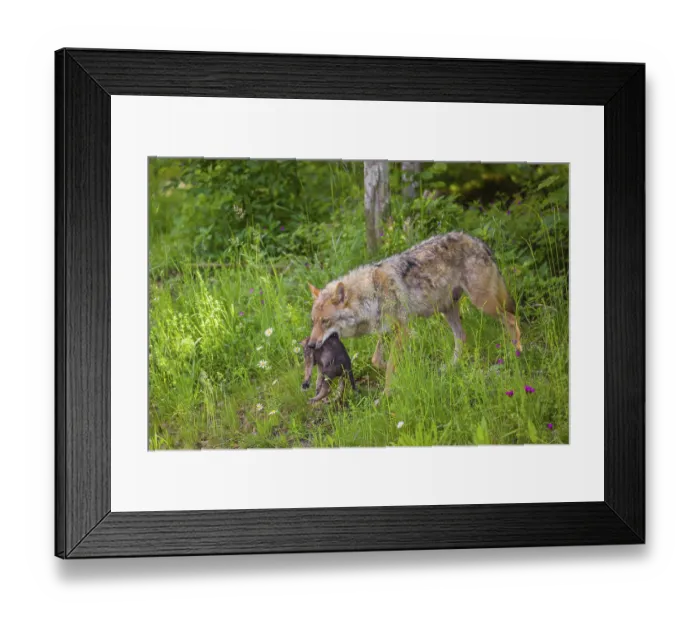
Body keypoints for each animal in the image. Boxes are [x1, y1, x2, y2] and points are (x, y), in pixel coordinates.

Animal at [307, 232, 521, 385]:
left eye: (325, 321)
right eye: (313, 322)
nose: (310, 345)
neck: (370, 294)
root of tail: (477, 241)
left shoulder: (402, 329)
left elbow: (390, 365)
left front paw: (387, 395)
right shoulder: (386, 332)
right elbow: (377, 360)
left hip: (483, 304)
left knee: (511, 318)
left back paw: (517, 352)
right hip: (448, 310)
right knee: (462, 336)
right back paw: (450, 367)